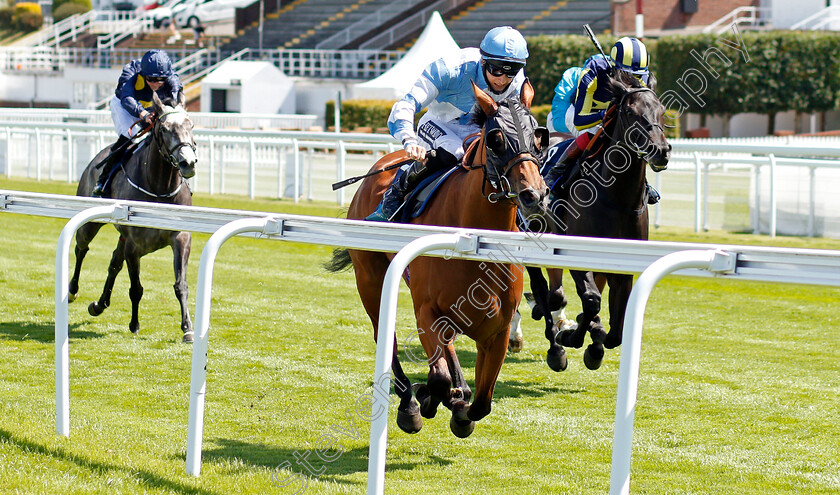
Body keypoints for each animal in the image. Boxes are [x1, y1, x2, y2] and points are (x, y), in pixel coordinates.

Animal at [68, 91, 198, 342]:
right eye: (165, 128)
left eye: (191, 125)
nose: (188, 163)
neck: (159, 188)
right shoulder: (135, 245)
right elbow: (136, 288)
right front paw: (135, 323)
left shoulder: (180, 237)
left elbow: (181, 284)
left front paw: (187, 327)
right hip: (91, 223)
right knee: (82, 249)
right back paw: (72, 291)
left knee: (113, 263)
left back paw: (99, 304)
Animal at [324, 81, 548, 438]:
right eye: (496, 138)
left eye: (539, 137)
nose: (534, 194)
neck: (473, 242)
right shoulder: (427, 312)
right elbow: (438, 378)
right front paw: (427, 399)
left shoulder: (496, 330)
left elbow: (482, 402)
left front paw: (460, 405)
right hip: (370, 279)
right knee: (386, 337)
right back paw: (409, 402)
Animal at [528, 70, 672, 372]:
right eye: (630, 112)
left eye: (662, 110)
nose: (661, 150)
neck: (617, 198)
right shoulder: (576, 253)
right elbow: (592, 301)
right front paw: (572, 337)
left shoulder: (621, 262)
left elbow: (616, 330)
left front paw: (593, 340)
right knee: (541, 287)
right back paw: (555, 347)